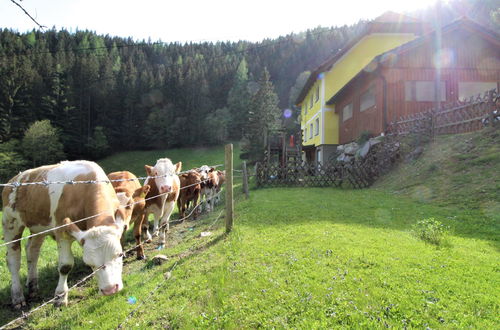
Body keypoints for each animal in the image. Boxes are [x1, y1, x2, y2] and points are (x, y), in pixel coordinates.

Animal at [2, 161, 127, 308]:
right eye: (89, 263)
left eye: (120, 254)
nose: (110, 289)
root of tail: (14, 179)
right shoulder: (62, 231)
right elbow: (65, 266)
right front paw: (60, 297)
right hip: (10, 222)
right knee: (13, 260)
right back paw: (17, 296)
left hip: (38, 226)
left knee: (32, 251)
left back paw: (33, 287)